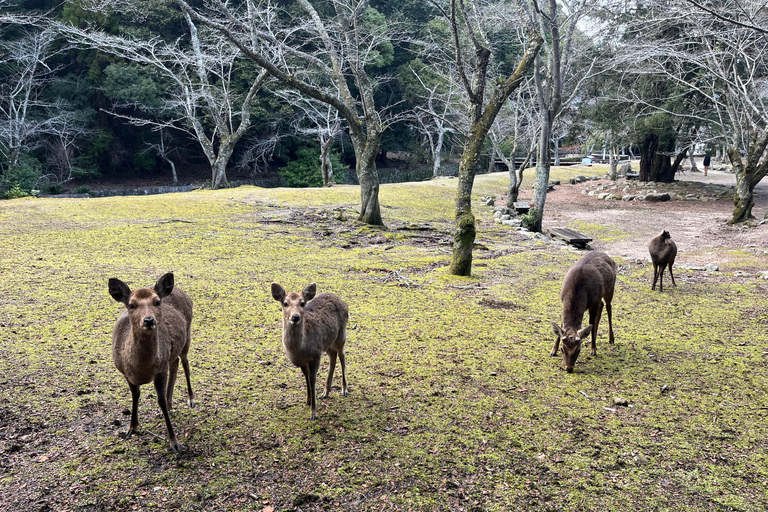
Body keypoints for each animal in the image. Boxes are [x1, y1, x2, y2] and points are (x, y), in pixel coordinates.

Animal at [106, 272, 194, 452]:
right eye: (131, 305)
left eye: (157, 302)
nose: (149, 320)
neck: (142, 369)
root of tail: (180, 290)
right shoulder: (126, 374)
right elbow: (135, 396)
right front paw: (131, 428)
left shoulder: (160, 370)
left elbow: (160, 400)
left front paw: (174, 442)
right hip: (172, 353)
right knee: (174, 364)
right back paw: (171, 405)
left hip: (187, 337)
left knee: (185, 364)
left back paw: (190, 399)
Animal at [270, 284, 348, 420]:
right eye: (285, 303)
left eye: (302, 303)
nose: (295, 316)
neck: (300, 349)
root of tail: (344, 303)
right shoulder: (302, 361)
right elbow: (306, 377)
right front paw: (308, 400)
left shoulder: (316, 355)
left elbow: (312, 379)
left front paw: (313, 413)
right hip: (327, 343)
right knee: (333, 356)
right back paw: (325, 392)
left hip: (341, 335)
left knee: (342, 356)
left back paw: (344, 389)